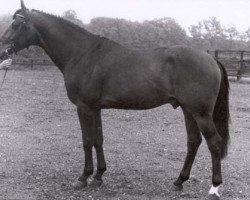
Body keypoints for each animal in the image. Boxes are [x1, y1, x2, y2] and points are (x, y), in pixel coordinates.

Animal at [0, 1, 229, 198]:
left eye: (17, 24)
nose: (2, 51)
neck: (83, 54)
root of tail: (211, 58)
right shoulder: (95, 108)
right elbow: (98, 140)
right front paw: (99, 176)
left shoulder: (84, 107)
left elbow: (86, 140)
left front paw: (83, 178)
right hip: (188, 110)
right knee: (193, 142)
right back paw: (179, 182)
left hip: (200, 113)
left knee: (214, 142)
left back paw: (214, 187)